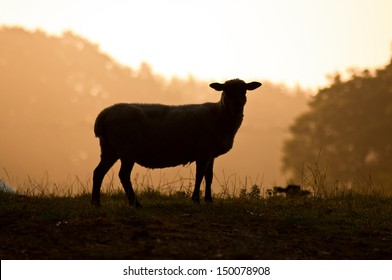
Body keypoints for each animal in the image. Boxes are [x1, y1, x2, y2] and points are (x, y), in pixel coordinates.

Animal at [92, 77, 262, 207]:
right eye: (226, 90)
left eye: (244, 90)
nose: (237, 107)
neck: (219, 116)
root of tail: (103, 116)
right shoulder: (203, 151)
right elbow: (200, 175)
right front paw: (196, 199)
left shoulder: (210, 153)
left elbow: (209, 176)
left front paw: (209, 200)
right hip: (127, 148)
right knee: (123, 175)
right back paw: (135, 203)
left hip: (109, 148)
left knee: (98, 172)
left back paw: (96, 203)